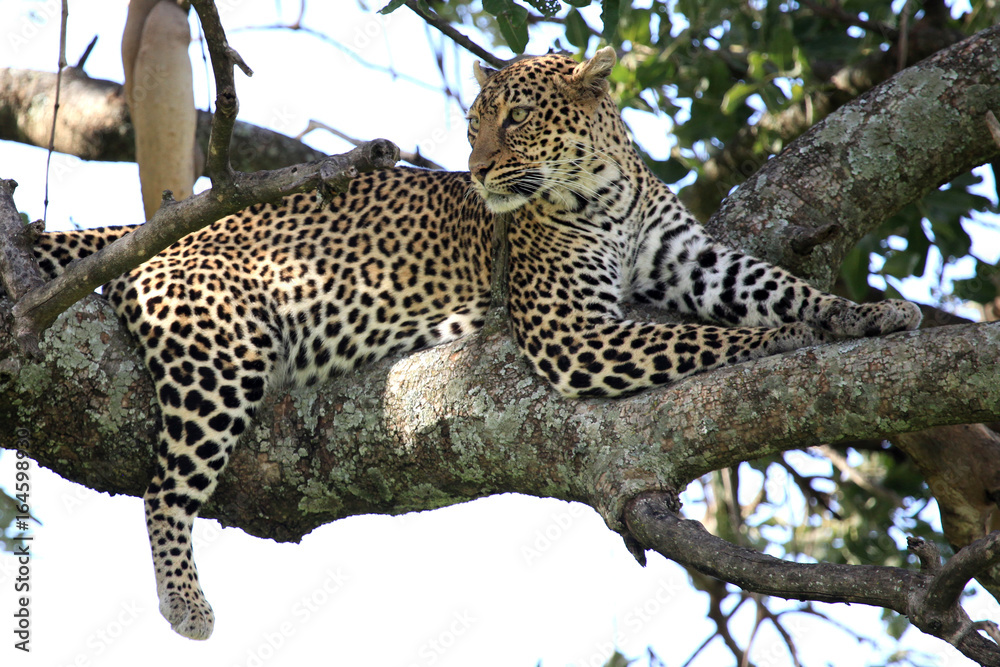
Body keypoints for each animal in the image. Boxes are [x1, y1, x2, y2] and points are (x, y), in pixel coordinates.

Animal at [25, 47, 920, 640]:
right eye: (471, 126)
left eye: (515, 117)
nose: (479, 166)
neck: (606, 189)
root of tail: (142, 234)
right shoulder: (574, 332)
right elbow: (694, 336)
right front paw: (783, 337)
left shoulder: (694, 260)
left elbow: (778, 284)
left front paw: (869, 313)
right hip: (219, 353)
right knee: (163, 489)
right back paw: (186, 602)